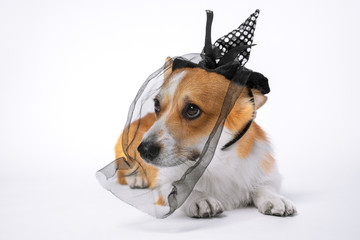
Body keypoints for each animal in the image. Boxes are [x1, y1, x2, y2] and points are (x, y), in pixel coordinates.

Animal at [114, 57, 296, 218]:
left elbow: (264, 186)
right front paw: (201, 199)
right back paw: (136, 177)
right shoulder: (164, 183)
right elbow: (182, 190)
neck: (215, 162)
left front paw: (275, 199)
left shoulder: (264, 173)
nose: (143, 150)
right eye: (157, 105)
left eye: (192, 109)